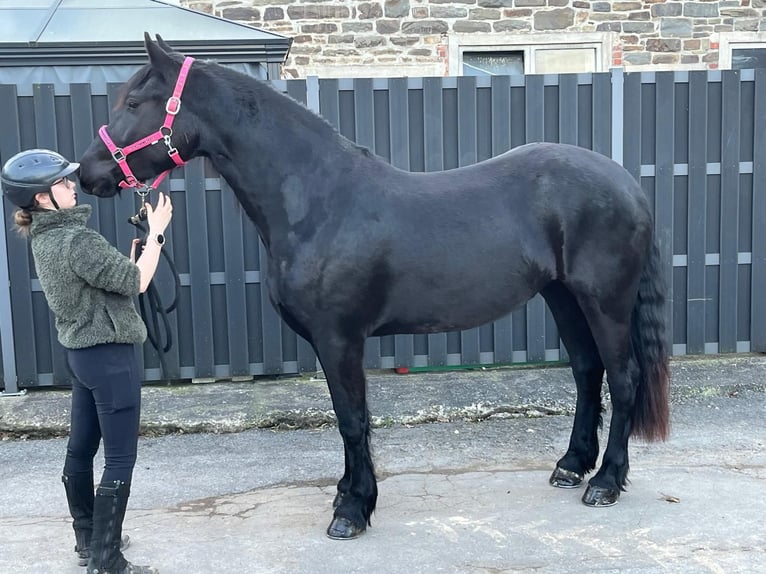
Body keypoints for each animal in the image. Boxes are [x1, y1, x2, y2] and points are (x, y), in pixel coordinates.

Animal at [78, 34, 670, 540]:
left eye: (135, 103)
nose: (87, 173)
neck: (318, 201)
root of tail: (627, 184)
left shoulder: (340, 339)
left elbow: (352, 420)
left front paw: (352, 510)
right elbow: (347, 420)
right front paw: (347, 494)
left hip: (605, 302)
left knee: (623, 378)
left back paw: (605, 483)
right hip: (563, 297)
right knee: (587, 372)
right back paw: (571, 466)